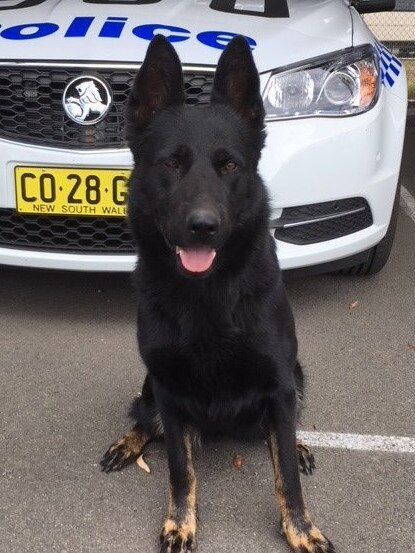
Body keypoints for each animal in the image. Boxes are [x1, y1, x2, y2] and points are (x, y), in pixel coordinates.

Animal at [102, 35, 336, 552]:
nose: (203, 227)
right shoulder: (169, 392)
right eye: (171, 163)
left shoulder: (278, 384)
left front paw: (301, 527)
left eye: (229, 165)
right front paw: (180, 521)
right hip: (152, 387)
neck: (207, 296)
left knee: (282, 431)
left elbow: (287, 476)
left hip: (297, 377)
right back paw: (128, 442)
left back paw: (299, 443)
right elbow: (179, 470)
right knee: (144, 418)